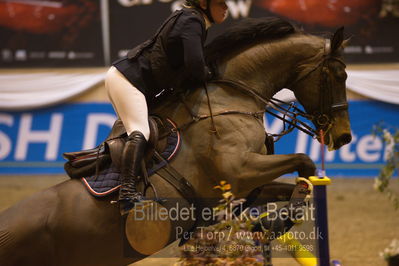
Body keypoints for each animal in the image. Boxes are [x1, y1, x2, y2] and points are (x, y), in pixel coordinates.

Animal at [0, 17, 350, 266]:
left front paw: (272, 222)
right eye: (339, 76)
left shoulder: (246, 184)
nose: (344, 136)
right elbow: (304, 162)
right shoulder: (240, 170)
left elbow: (285, 185)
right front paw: (282, 218)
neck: (231, 96)